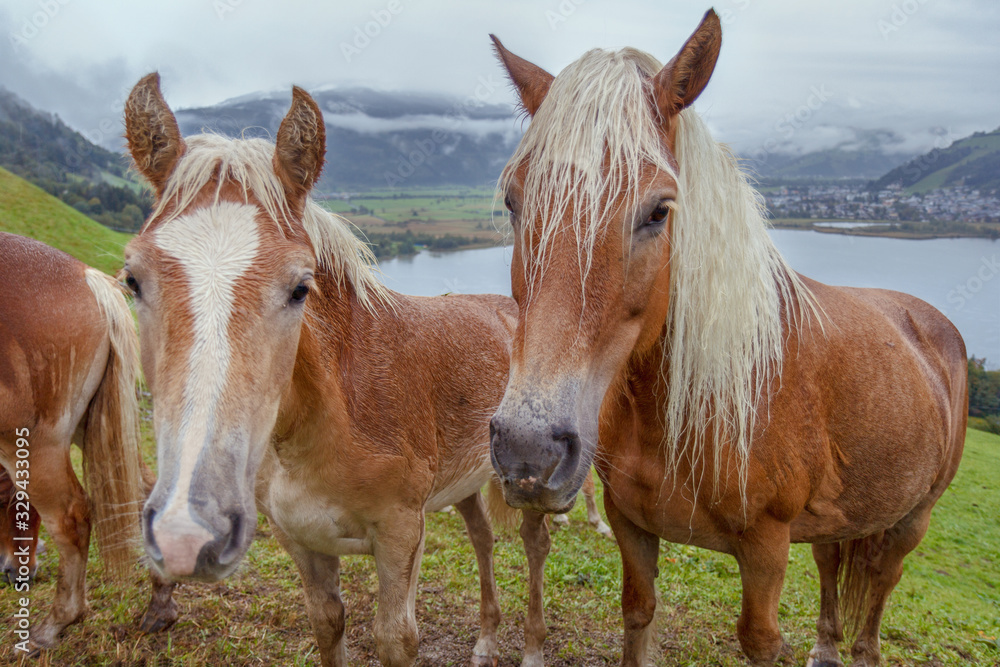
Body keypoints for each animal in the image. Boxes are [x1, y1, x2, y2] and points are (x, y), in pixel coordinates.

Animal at [0, 232, 179, 650]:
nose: (17, 575)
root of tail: (89, 280)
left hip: (35, 443)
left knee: (72, 519)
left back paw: (54, 624)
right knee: (146, 490)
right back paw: (160, 604)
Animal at [121, 73, 554, 667]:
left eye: (300, 287)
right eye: (132, 280)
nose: (189, 531)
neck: (335, 412)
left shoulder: (400, 535)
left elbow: (395, 636)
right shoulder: (302, 544)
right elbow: (328, 622)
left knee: (534, 545)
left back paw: (532, 647)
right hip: (467, 478)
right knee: (483, 538)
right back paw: (486, 640)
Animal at [487, 11, 967, 667]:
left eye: (659, 211)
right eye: (514, 200)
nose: (528, 450)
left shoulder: (766, 550)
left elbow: (760, 639)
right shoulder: (632, 526)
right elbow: (638, 614)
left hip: (909, 521)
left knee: (880, 588)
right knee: (831, 566)